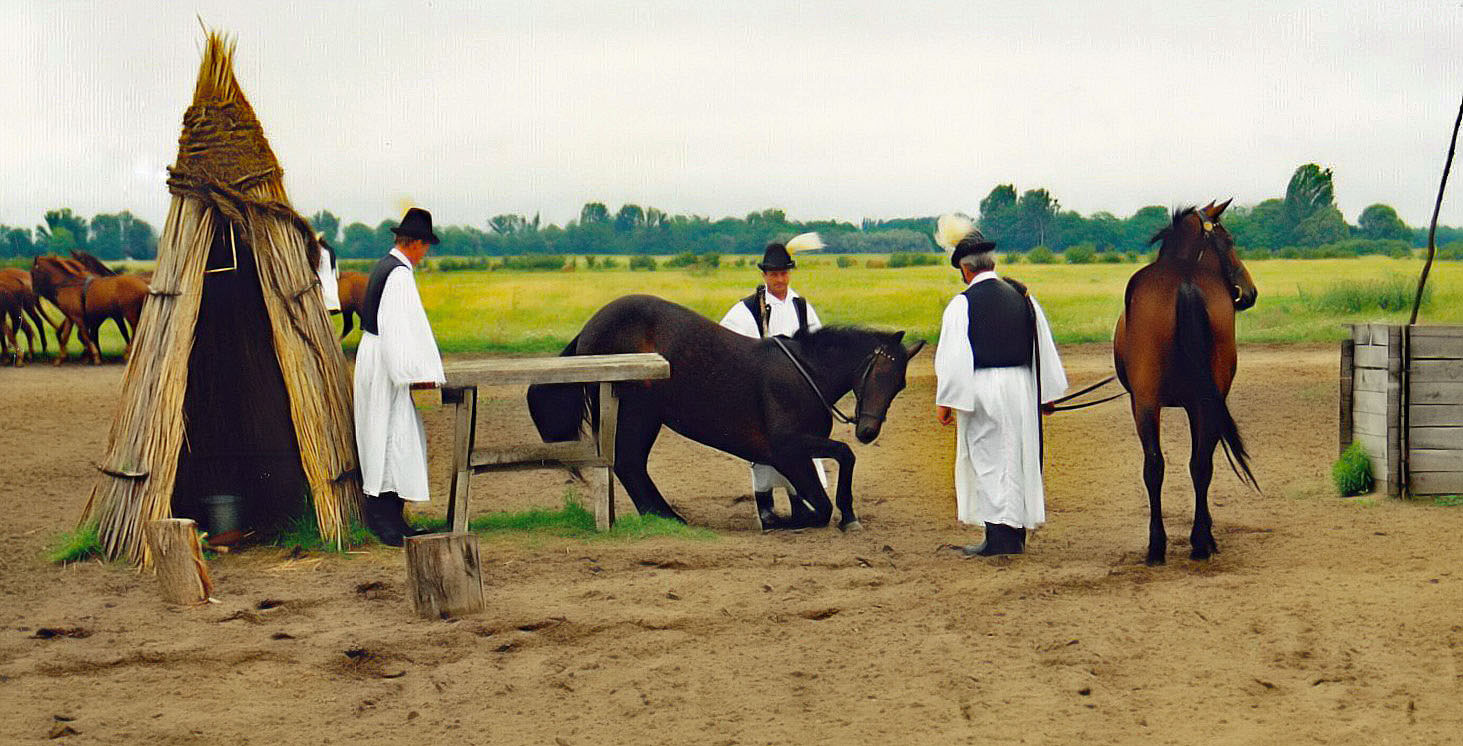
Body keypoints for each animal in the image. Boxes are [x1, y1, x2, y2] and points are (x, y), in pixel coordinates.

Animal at [526, 292, 918, 529]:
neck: (804, 374)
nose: (868, 431)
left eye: (899, 385)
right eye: (877, 374)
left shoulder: (795, 452)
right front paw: (785, 521)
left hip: (645, 415)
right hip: (636, 411)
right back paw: (666, 516)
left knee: (630, 464)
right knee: (628, 463)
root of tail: (591, 327)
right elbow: (828, 491)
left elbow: (830, 474)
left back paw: (664, 516)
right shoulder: (787, 447)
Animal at [1111, 200, 1264, 561]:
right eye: (1230, 240)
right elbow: (1200, 464)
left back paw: (1160, 544)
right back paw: (1197, 542)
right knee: (1197, 464)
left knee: (1156, 466)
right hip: (1197, 402)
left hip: (1147, 403)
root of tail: (1184, 283)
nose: (1249, 292)